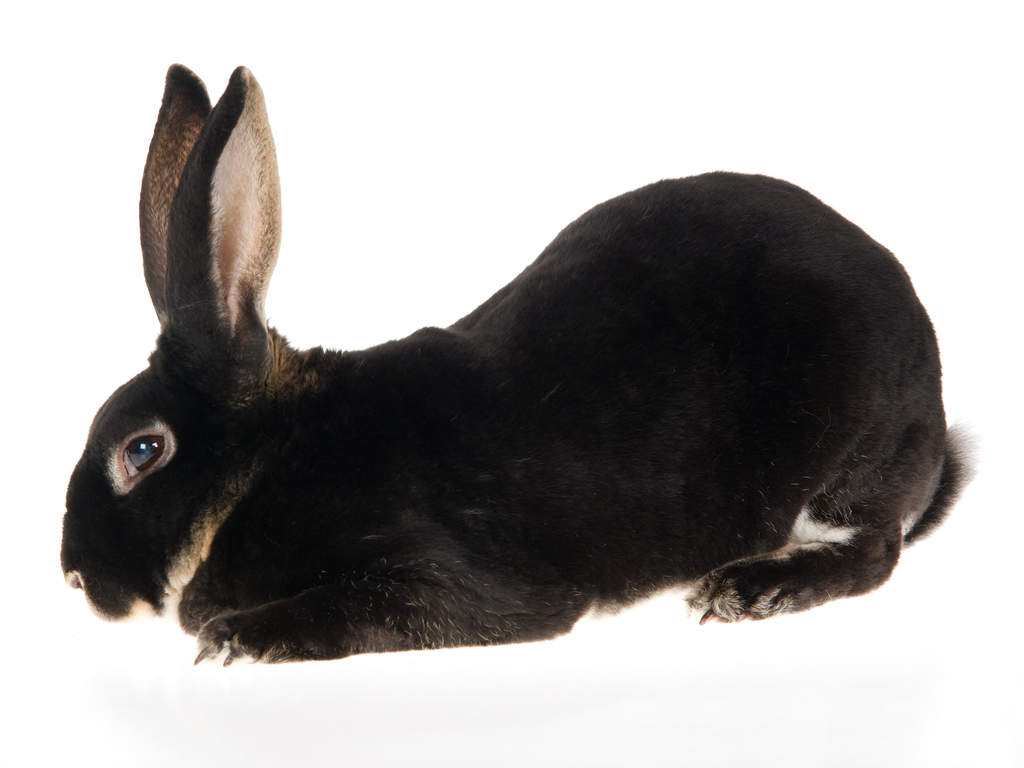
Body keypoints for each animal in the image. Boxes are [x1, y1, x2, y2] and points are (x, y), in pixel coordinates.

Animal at [61, 64, 970, 666]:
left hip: (853, 452)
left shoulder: (450, 581)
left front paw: (237, 639)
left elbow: (363, 612)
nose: (74, 578)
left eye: (143, 451)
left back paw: (747, 590)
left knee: (876, 551)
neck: (270, 460)